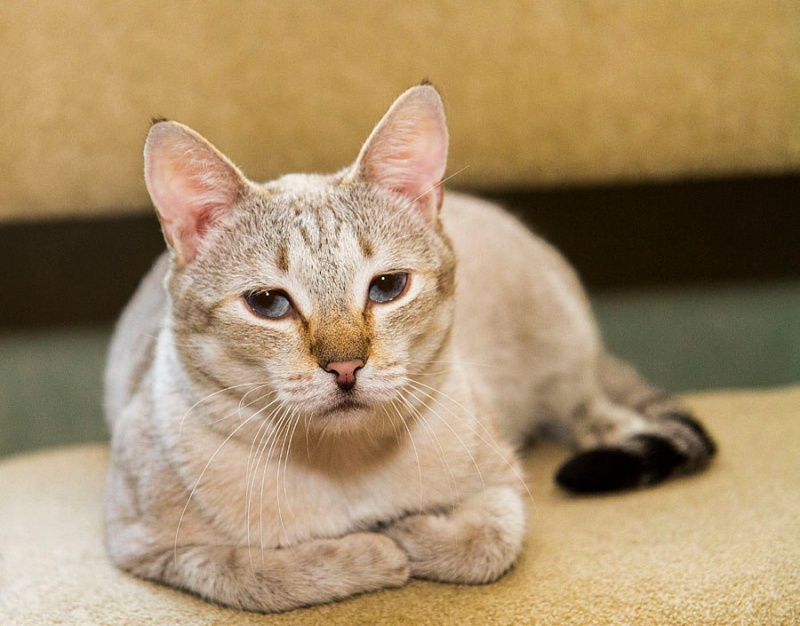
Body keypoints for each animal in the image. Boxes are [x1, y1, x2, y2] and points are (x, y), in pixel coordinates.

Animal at [104, 84, 716, 613]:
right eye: (268, 303)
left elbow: (482, 544)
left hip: (560, 344)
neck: (344, 469)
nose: (345, 367)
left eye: (387, 287)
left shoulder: (503, 485)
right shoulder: (148, 547)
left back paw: (609, 427)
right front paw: (371, 549)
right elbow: (260, 573)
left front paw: (403, 532)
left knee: (591, 400)